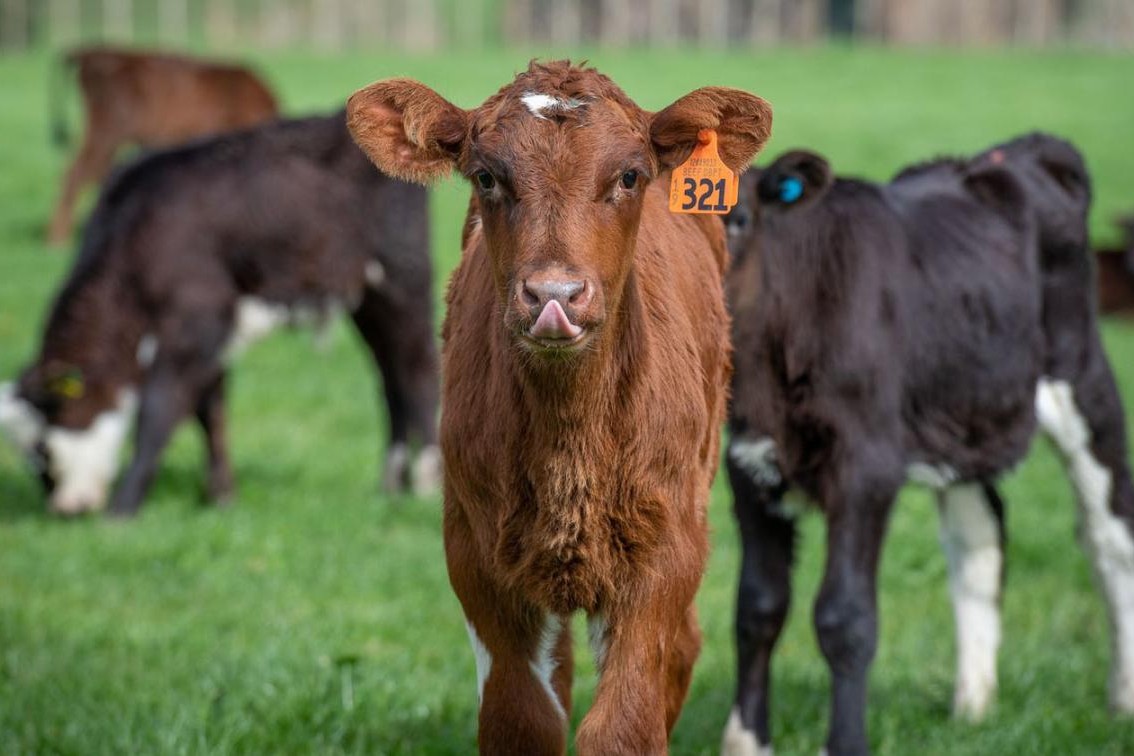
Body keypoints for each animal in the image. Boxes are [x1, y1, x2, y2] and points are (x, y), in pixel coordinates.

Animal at [0, 111, 439, 517]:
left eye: (41, 450)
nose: (64, 509)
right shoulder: (211, 336)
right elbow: (210, 410)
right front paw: (221, 496)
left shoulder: (197, 324)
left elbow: (159, 410)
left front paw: (123, 509)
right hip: (366, 299)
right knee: (390, 380)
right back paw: (391, 484)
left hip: (403, 281)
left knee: (418, 373)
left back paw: (425, 481)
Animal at [346, 60, 772, 754]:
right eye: (486, 176)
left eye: (629, 175)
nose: (555, 294)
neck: (569, 443)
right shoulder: (476, 555)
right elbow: (522, 719)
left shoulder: (665, 551)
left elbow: (624, 725)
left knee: (681, 649)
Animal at [720, 135, 1134, 755]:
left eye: (740, 218)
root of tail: (1018, 150)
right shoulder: (746, 462)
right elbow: (758, 608)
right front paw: (745, 741)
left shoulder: (866, 466)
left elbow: (844, 617)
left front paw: (845, 743)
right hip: (963, 411)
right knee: (979, 538)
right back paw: (973, 708)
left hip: (1082, 379)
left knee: (1109, 538)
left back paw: (1123, 700)